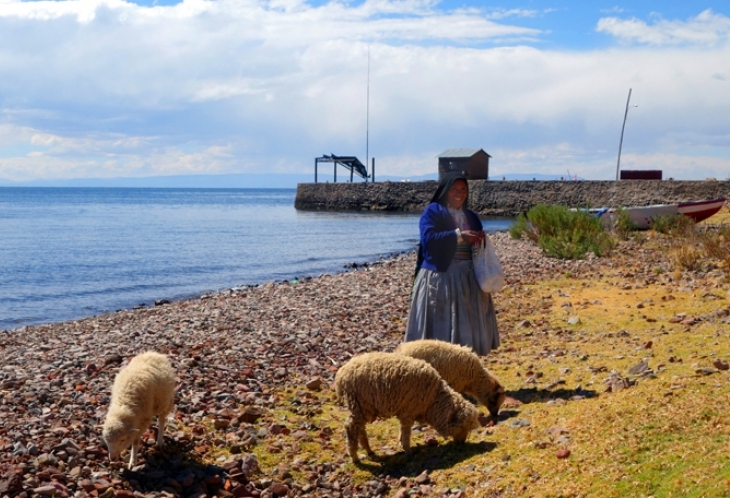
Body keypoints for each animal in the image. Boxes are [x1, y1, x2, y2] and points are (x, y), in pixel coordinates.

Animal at [332, 350, 480, 462]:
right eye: (462, 426)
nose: (462, 443)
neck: (434, 400)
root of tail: (341, 375)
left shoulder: (406, 412)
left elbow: (403, 431)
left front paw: (404, 447)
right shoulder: (408, 412)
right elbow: (406, 432)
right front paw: (408, 451)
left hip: (362, 408)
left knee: (360, 427)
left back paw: (369, 450)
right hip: (359, 403)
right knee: (351, 427)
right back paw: (354, 456)